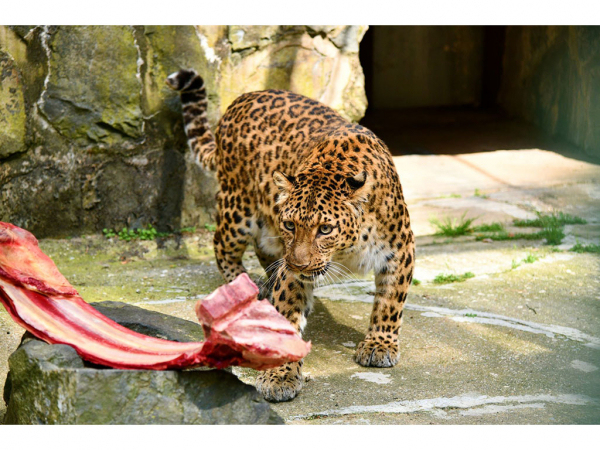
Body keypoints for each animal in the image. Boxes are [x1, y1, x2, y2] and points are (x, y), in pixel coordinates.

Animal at [166, 68, 414, 402]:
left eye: (325, 229)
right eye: (291, 225)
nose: (300, 264)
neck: (346, 250)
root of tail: (241, 99)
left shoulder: (400, 251)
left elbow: (390, 302)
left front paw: (379, 345)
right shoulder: (290, 268)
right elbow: (289, 313)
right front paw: (281, 375)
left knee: (262, 250)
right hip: (237, 211)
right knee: (221, 246)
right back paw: (247, 289)